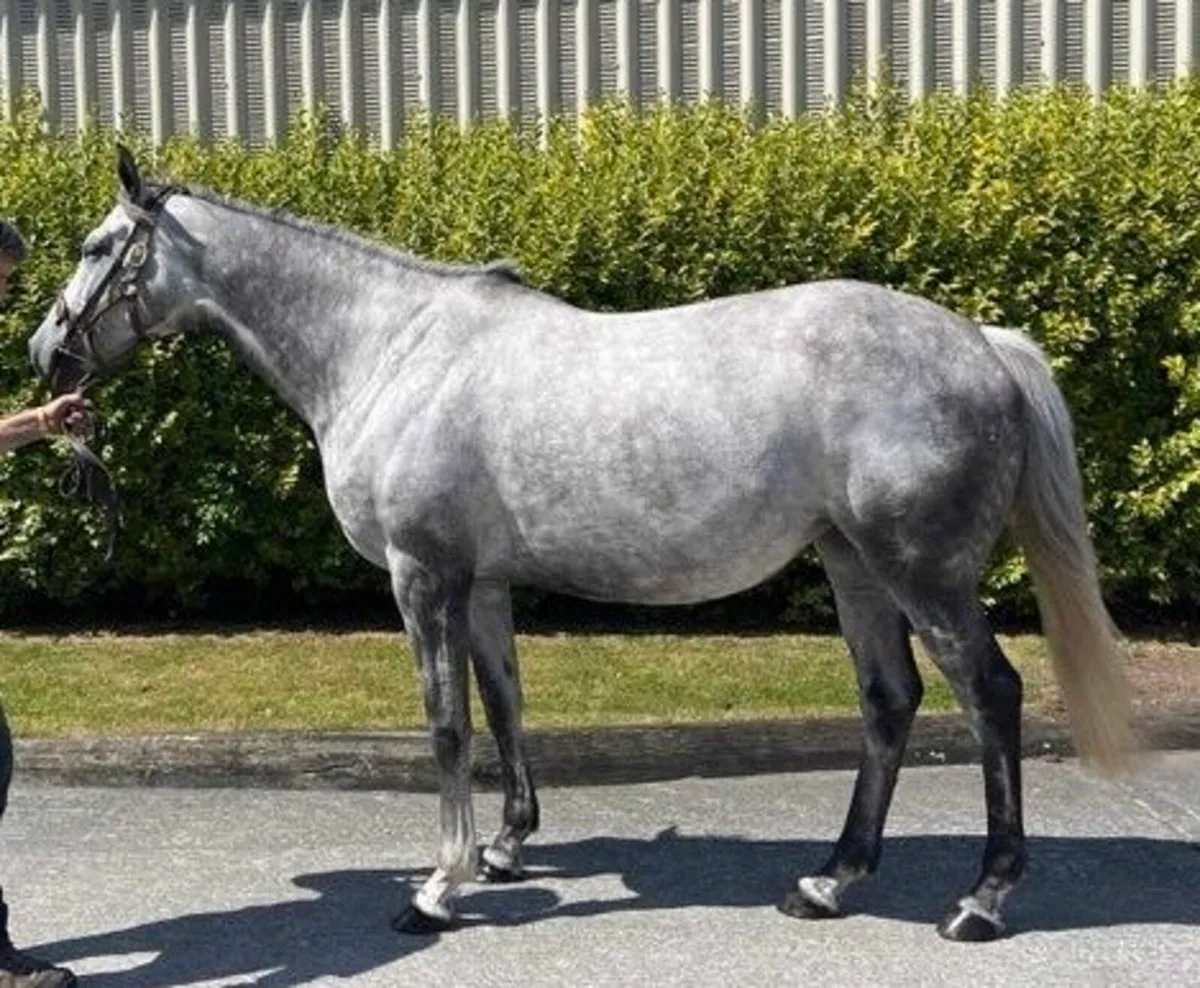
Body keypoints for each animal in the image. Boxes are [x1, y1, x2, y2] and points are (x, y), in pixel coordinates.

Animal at [29, 147, 1134, 942]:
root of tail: (984, 343)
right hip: (853, 561)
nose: (46, 354)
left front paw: (437, 888)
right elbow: (507, 703)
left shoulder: (424, 578)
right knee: (890, 701)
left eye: (93, 245)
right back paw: (828, 880)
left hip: (921, 572)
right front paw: (506, 850)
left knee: (989, 696)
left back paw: (980, 900)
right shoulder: (480, 584)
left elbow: (447, 726)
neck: (390, 350)